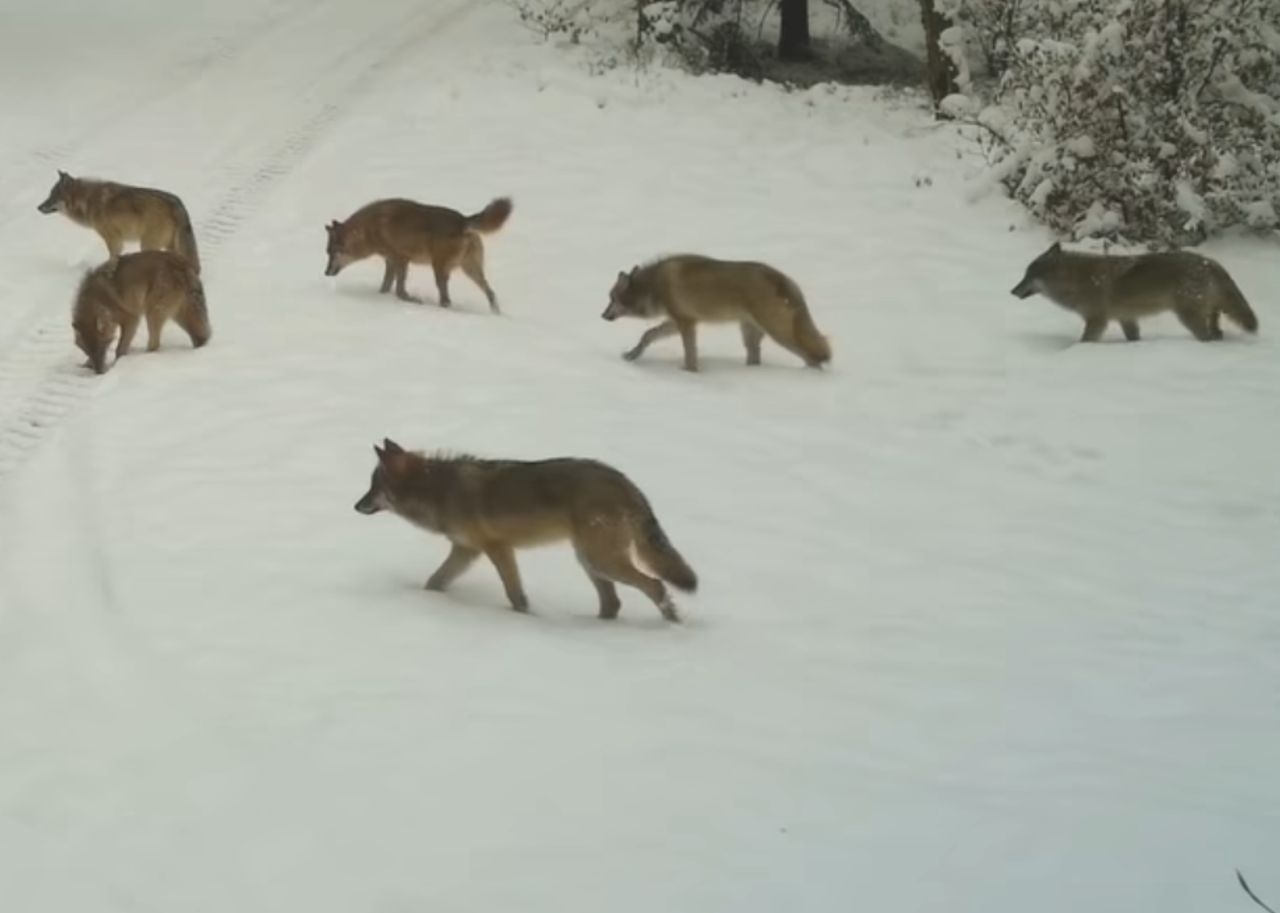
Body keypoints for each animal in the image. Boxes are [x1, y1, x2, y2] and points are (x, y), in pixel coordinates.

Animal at [37, 169, 203, 272]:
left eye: (52, 196)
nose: (38, 207)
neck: (87, 201)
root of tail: (176, 203)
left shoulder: (113, 238)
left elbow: (113, 257)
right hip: (169, 246)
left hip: (147, 244)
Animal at [73, 247, 212, 371]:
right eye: (88, 351)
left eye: (101, 349)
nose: (99, 372)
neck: (97, 301)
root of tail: (183, 265)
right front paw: (87, 365)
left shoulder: (132, 319)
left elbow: (120, 349)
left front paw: (117, 364)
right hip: (178, 315)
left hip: (153, 313)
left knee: (155, 344)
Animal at [322, 194, 512, 311]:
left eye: (332, 252)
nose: (326, 272)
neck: (368, 229)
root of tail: (464, 220)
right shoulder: (390, 261)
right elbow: (385, 287)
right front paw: (382, 297)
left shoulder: (401, 260)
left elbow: (400, 291)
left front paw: (413, 301)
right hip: (470, 270)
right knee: (491, 293)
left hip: (440, 270)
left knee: (446, 300)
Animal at [1008, 242, 1259, 343]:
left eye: (1028, 276)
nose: (1011, 291)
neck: (1075, 281)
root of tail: (1209, 261)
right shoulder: (1127, 318)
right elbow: (1134, 338)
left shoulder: (1097, 320)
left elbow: (1084, 341)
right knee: (1217, 333)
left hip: (1188, 316)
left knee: (1206, 337)